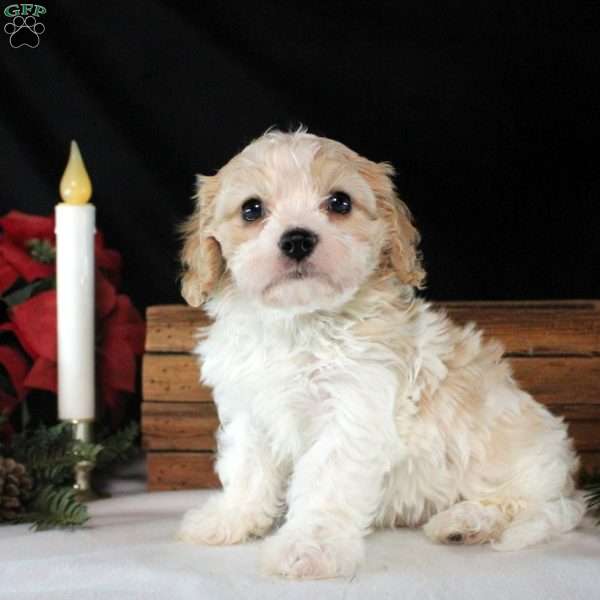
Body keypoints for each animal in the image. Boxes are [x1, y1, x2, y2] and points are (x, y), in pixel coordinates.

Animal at [175, 129, 584, 580]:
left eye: (339, 202)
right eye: (251, 209)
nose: (297, 239)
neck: (300, 323)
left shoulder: (351, 412)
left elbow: (324, 484)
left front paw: (308, 548)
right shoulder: (250, 411)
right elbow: (246, 470)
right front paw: (229, 520)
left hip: (520, 466)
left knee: (522, 505)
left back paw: (465, 522)